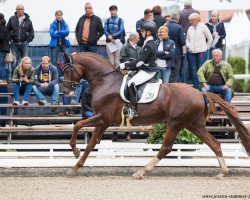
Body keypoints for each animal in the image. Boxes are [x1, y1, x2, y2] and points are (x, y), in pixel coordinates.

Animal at [63, 52, 250, 179]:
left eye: (66, 71)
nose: (65, 91)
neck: (105, 81)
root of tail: (199, 93)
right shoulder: (102, 122)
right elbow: (90, 143)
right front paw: (76, 165)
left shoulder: (104, 118)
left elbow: (78, 126)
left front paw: (75, 152)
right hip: (193, 125)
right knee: (215, 144)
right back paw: (222, 172)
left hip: (176, 123)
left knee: (166, 148)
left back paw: (141, 172)